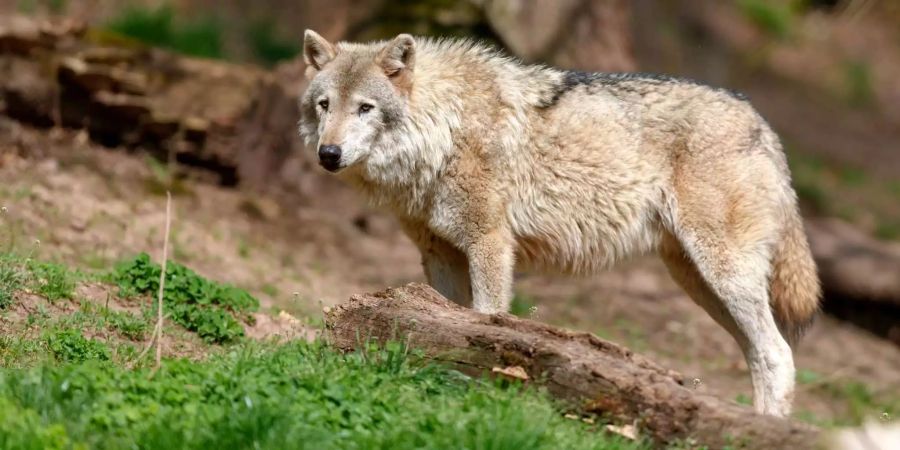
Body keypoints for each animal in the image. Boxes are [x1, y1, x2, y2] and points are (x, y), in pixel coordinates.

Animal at [298, 28, 820, 416]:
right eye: (325, 105)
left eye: (365, 108)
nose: (329, 154)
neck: (444, 129)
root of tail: (762, 123)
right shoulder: (440, 256)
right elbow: (447, 324)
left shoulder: (489, 244)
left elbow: (485, 322)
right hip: (699, 282)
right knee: (761, 354)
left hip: (723, 273)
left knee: (778, 354)